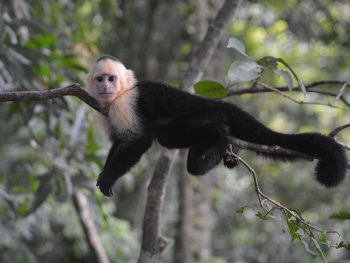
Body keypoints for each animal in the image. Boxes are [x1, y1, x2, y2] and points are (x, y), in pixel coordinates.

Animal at [88, 54, 348, 197]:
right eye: (100, 79)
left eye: (112, 78)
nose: (105, 86)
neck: (120, 93)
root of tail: (224, 105)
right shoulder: (105, 108)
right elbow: (119, 141)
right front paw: (103, 173)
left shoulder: (124, 103)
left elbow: (138, 140)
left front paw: (108, 178)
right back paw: (225, 151)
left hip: (211, 112)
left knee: (172, 136)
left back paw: (220, 136)